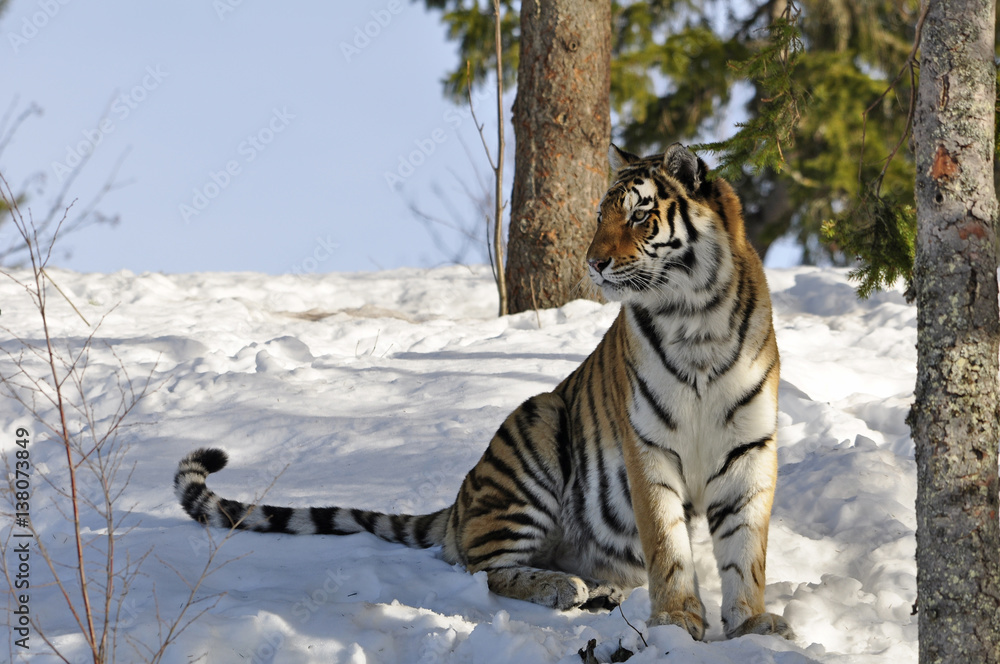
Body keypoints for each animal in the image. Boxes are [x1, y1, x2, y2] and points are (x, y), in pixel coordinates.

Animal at [174, 143, 794, 641]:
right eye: (601, 216)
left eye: (641, 214)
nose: (593, 262)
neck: (696, 319)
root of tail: (456, 504)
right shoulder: (650, 447)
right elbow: (668, 546)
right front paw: (677, 623)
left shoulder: (747, 448)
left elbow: (746, 551)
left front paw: (752, 625)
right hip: (536, 429)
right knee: (482, 566)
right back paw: (563, 587)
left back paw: (599, 589)